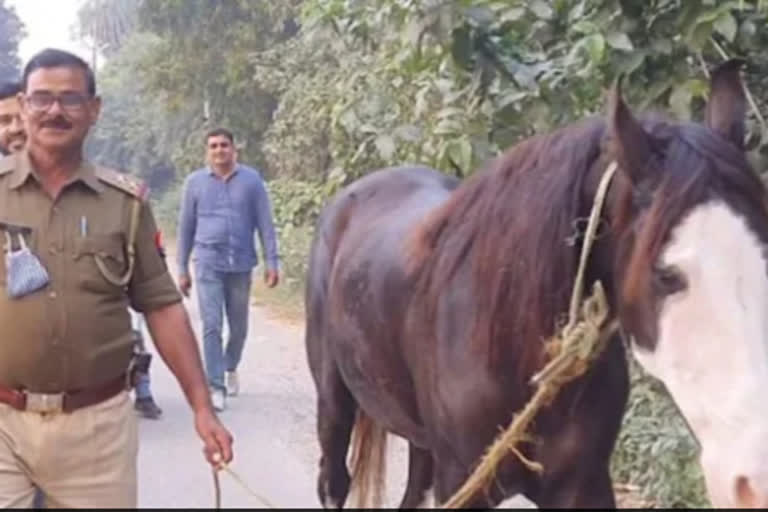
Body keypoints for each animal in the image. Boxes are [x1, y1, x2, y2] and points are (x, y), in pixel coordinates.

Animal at [304, 60, 768, 508]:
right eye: (667, 274)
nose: (754, 482)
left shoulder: (584, 485)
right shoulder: (463, 484)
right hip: (335, 405)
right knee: (334, 480)